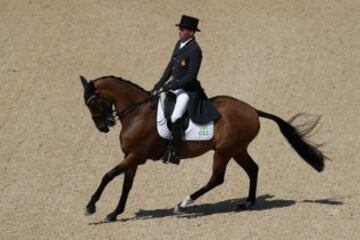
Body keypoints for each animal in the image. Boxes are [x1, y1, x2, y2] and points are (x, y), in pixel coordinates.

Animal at [80, 75, 328, 223]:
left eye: (92, 102)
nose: (103, 127)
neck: (137, 113)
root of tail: (253, 110)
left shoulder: (135, 156)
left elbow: (108, 175)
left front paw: (90, 206)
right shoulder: (131, 157)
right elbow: (126, 184)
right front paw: (114, 213)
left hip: (223, 152)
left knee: (217, 179)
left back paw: (182, 205)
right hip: (238, 150)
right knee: (253, 169)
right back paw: (247, 202)